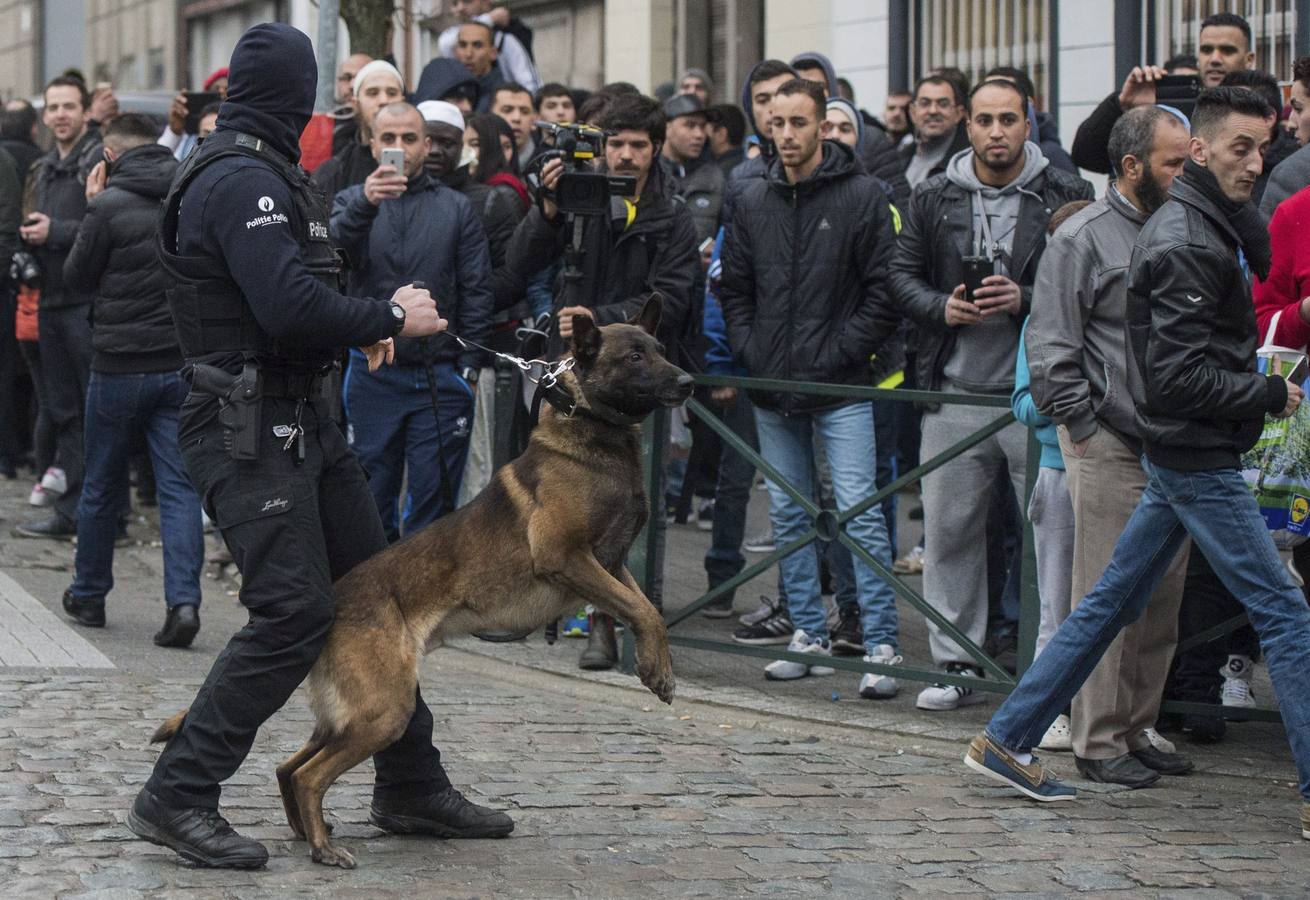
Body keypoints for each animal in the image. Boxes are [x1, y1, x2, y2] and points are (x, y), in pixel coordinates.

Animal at [149, 293, 691, 864]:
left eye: (660, 348)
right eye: (634, 357)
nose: (689, 382)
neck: (590, 430)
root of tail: (334, 601)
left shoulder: (611, 565)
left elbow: (643, 608)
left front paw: (657, 664)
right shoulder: (567, 557)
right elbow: (645, 610)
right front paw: (657, 671)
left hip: (357, 712)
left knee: (288, 766)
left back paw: (308, 832)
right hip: (386, 710)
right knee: (309, 775)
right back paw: (320, 847)